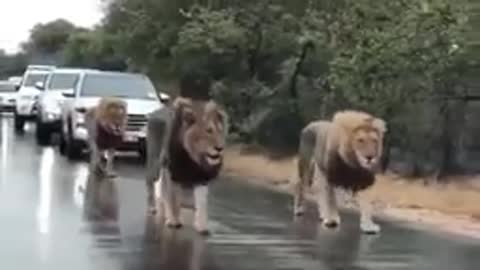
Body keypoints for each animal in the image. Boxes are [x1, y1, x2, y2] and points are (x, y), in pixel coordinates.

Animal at [145, 96, 228, 234]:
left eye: (220, 132)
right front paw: (173, 221)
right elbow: (173, 198)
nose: (220, 148)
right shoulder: (172, 172)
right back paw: (153, 208)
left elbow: (201, 203)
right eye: (208, 131)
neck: (194, 158)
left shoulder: (202, 178)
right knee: (151, 184)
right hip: (154, 164)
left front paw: (202, 226)